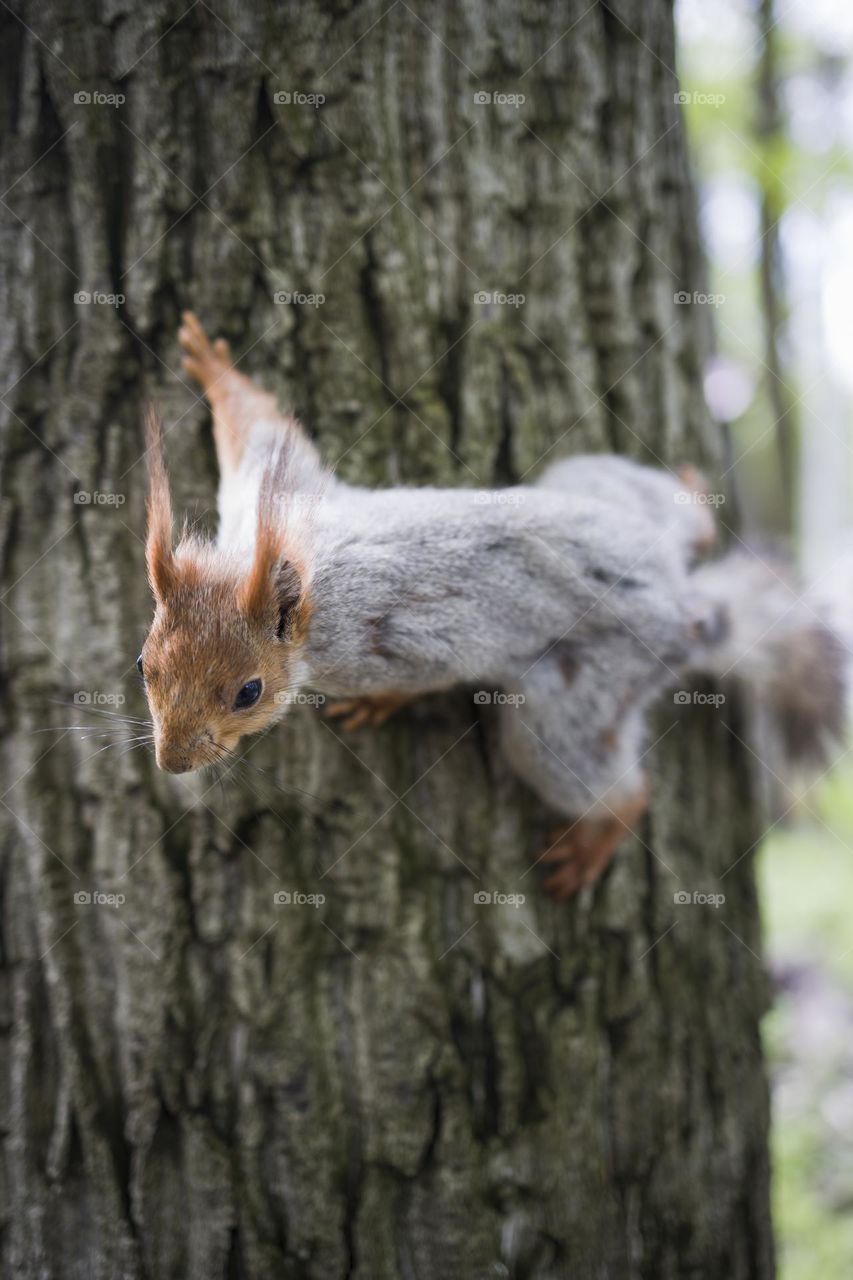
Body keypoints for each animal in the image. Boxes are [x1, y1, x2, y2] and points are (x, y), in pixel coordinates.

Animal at [137, 312, 845, 901]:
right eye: (144, 664)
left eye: (249, 692)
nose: (172, 762)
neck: (307, 583)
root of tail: (688, 605)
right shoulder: (267, 498)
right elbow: (257, 428)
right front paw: (212, 367)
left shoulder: (389, 639)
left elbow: (426, 672)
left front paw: (382, 704)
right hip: (595, 486)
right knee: (678, 521)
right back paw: (694, 502)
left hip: (570, 701)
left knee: (608, 781)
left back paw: (596, 837)